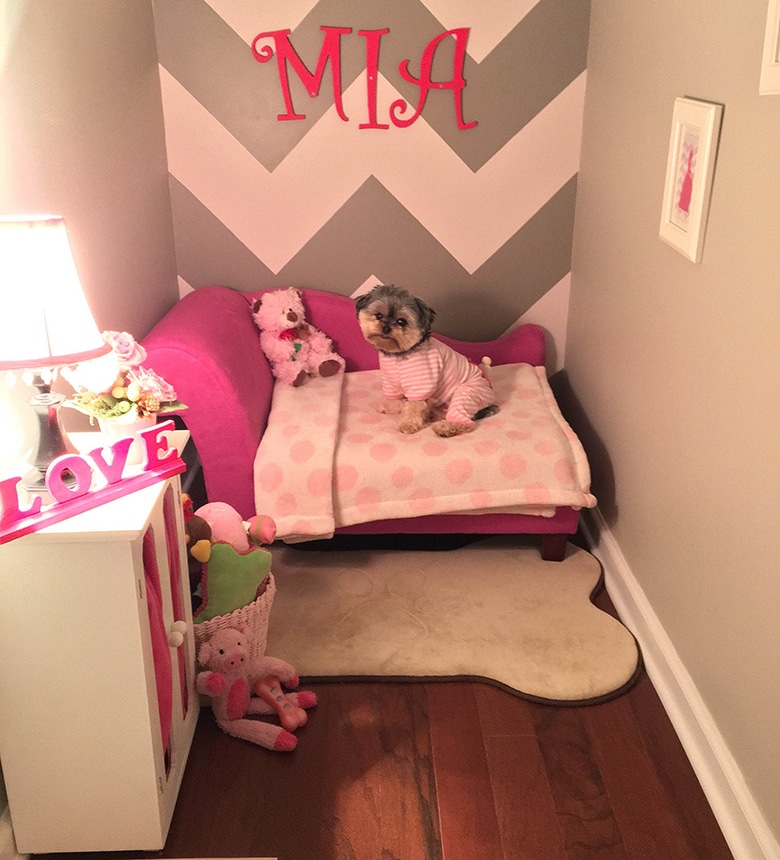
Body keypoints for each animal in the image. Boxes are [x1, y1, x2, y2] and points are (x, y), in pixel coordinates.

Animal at [354, 286, 496, 436]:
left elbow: (414, 406)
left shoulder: (420, 384)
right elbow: (392, 401)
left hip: (466, 394)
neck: (398, 354)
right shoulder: (390, 382)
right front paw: (391, 408)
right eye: (379, 315)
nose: (386, 328)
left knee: (465, 421)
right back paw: (432, 415)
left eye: (401, 321)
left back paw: (446, 428)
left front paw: (409, 424)